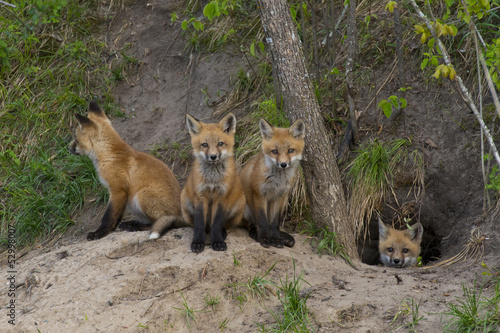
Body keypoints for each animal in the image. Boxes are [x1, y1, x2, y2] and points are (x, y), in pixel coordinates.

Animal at [68, 100, 182, 239]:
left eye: (76, 139)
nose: (68, 148)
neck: (110, 155)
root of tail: (181, 215)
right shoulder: (122, 194)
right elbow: (117, 216)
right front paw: (111, 229)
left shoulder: (117, 190)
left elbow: (108, 216)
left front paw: (100, 233)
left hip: (142, 195)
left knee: (158, 223)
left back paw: (134, 226)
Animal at [183, 111, 247, 252]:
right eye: (204, 145)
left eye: (220, 143)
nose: (213, 156)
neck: (212, 180)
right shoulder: (200, 196)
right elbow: (199, 224)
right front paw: (197, 242)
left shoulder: (221, 196)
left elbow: (217, 223)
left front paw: (217, 241)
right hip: (185, 201)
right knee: (198, 225)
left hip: (239, 204)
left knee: (223, 225)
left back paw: (222, 233)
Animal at [239, 118, 304, 248]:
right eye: (275, 151)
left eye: (290, 150)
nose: (283, 164)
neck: (277, 181)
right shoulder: (259, 194)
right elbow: (263, 221)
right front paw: (264, 239)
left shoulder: (279, 196)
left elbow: (274, 223)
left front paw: (276, 239)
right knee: (250, 224)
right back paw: (255, 233)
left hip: (284, 202)